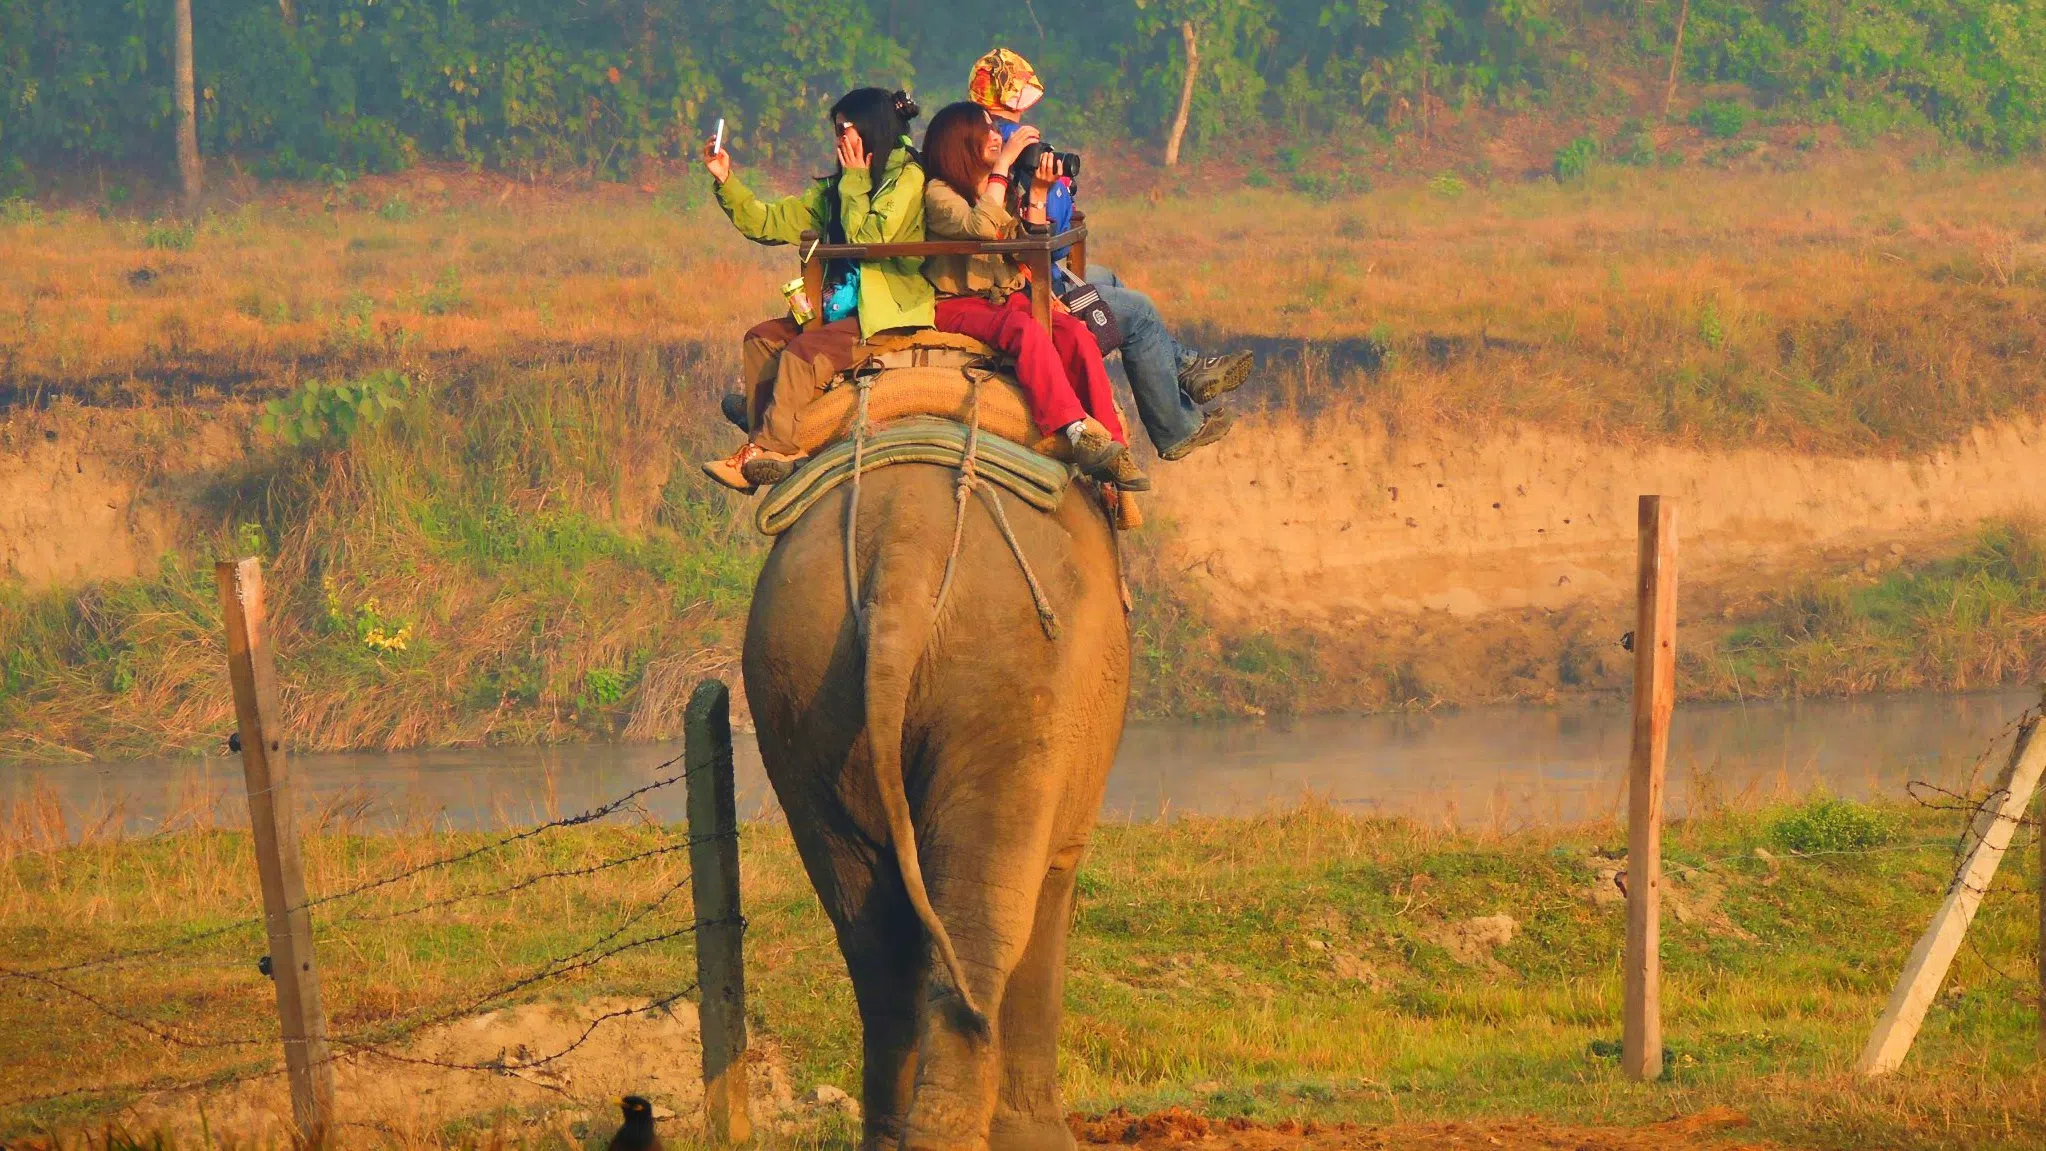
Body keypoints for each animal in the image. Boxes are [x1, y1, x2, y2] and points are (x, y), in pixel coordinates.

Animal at [748, 462, 1137, 1151]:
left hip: (799, 681)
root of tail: (903, 552)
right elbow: (1052, 888)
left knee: (871, 932)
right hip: (1009, 681)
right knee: (982, 916)